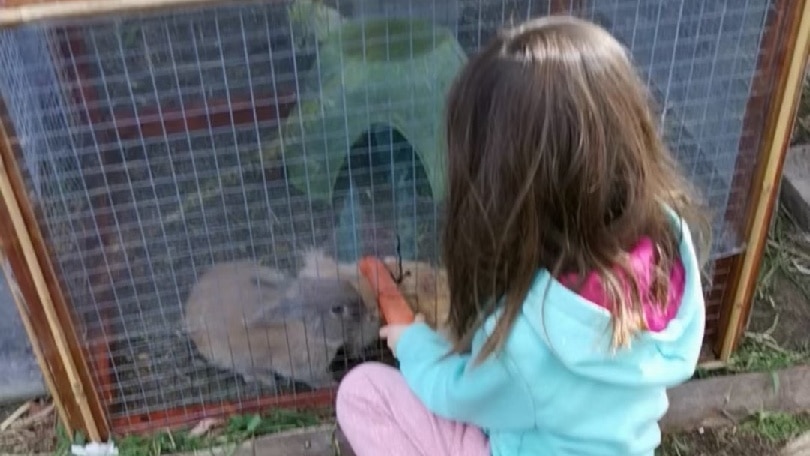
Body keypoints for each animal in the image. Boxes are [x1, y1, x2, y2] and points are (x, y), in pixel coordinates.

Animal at [183, 258, 382, 390]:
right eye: (337, 309)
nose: (367, 311)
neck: (306, 329)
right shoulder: (302, 367)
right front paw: (331, 382)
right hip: (228, 355)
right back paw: (265, 379)